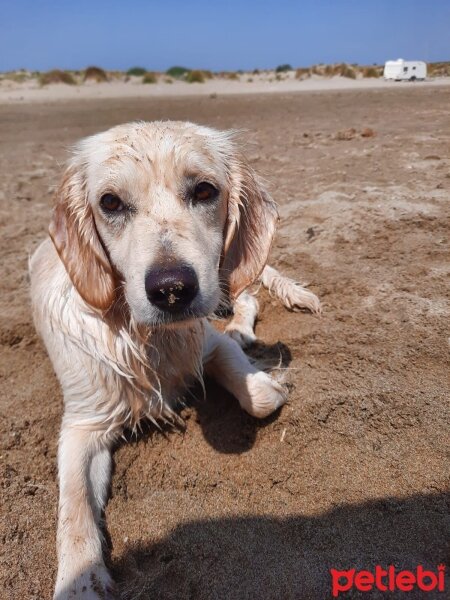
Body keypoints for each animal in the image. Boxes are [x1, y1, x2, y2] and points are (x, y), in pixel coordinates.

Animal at [29, 119, 320, 596]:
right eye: (110, 202)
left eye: (204, 190)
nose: (171, 289)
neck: (151, 341)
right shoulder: (82, 423)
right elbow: (73, 507)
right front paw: (80, 580)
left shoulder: (207, 341)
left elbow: (258, 397)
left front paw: (266, 382)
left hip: (228, 278)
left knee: (250, 294)